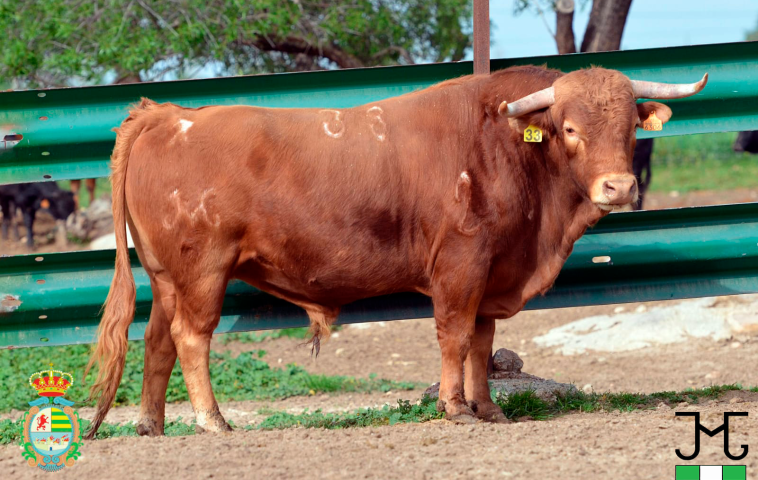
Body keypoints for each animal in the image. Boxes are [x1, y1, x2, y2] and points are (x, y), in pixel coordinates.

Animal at [86, 64, 708, 438]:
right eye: (571, 128)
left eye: (631, 126)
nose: (618, 188)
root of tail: (166, 114)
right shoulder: (462, 263)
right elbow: (456, 336)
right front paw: (456, 409)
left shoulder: (493, 271)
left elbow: (483, 343)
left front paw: (489, 408)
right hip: (203, 270)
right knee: (192, 338)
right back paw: (212, 421)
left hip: (167, 276)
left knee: (158, 342)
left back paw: (152, 425)